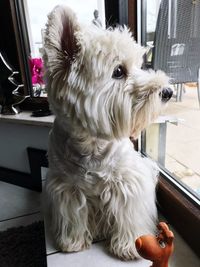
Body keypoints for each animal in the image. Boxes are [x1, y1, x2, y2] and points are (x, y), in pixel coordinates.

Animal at [43, 5, 173, 262]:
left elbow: (129, 215)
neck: (91, 143)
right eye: (118, 71)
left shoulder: (129, 182)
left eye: (139, 65)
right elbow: (73, 216)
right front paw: (72, 242)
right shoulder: (66, 187)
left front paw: (130, 245)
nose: (167, 91)